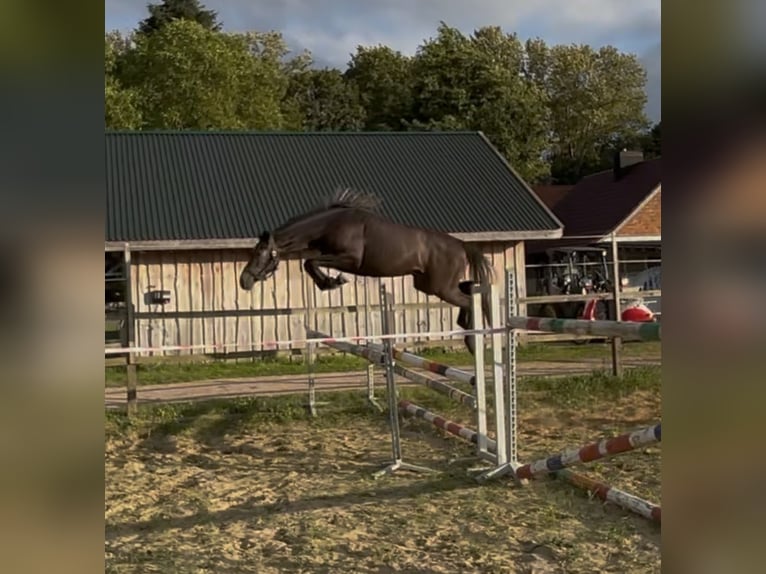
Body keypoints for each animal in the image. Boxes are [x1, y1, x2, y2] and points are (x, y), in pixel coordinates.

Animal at [238, 188, 494, 355]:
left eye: (260, 252)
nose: (244, 280)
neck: (329, 225)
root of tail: (461, 245)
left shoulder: (349, 259)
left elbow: (310, 262)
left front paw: (332, 282)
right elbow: (309, 262)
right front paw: (328, 282)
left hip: (440, 287)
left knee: (469, 299)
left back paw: (473, 341)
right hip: (428, 284)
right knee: (470, 289)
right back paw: (468, 332)